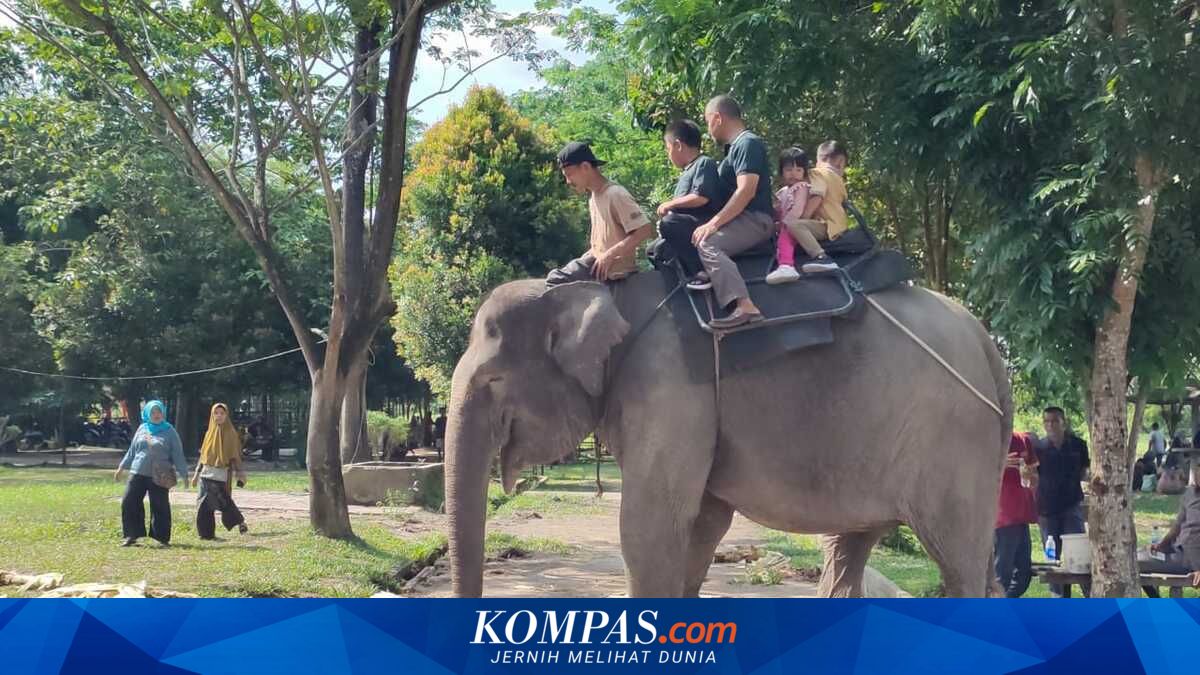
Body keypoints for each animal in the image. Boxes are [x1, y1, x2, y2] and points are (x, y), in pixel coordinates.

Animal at [444, 272, 1012, 597]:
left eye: (492, 380)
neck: (598, 290)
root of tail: (987, 343)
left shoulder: (668, 386)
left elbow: (649, 528)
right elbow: (702, 524)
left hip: (953, 440)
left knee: (957, 563)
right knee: (852, 551)